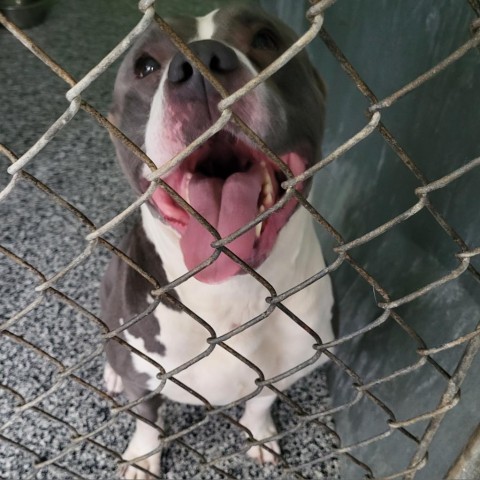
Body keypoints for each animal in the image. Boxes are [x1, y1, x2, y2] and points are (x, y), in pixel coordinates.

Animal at [101, 2, 334, 476]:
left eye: (265, 38)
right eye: (145, 65)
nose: (200, 64)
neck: (232, 293)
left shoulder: (286, 367)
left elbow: (261, 402)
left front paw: (259, 434)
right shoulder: (143, 378)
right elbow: (146, 420)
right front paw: (142, 458)